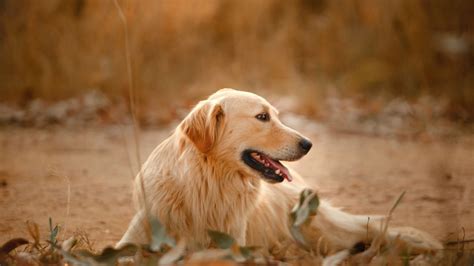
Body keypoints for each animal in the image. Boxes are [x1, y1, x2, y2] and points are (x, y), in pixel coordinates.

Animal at [116, 88, 442, 256]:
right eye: (262, 117)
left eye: (275, 115)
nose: (309, 144)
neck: (208, 184)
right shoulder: (136, 236)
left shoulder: (232, 247)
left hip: (320, 229)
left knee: (372, 226)